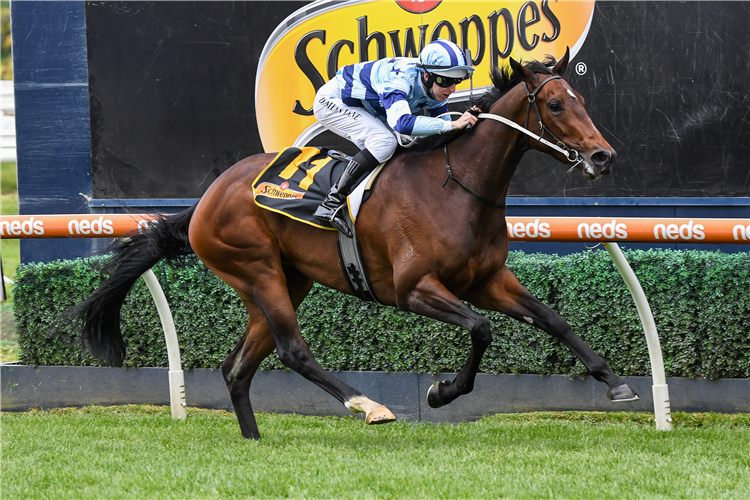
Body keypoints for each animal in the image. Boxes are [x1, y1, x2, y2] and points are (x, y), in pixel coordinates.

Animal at [72, 52, 640, 440]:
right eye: (555, 104)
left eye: (582, 100)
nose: (603, 156)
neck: (456, 187)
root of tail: (206, 199)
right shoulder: (414, 288)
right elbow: (481, 330)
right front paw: (440, 392)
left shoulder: (487, 280)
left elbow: (553, 319)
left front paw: (615, 381)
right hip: (257, 270)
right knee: (293, 349)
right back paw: (368, 406)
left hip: (285, 281)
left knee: (238, 366)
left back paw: (253, 439)